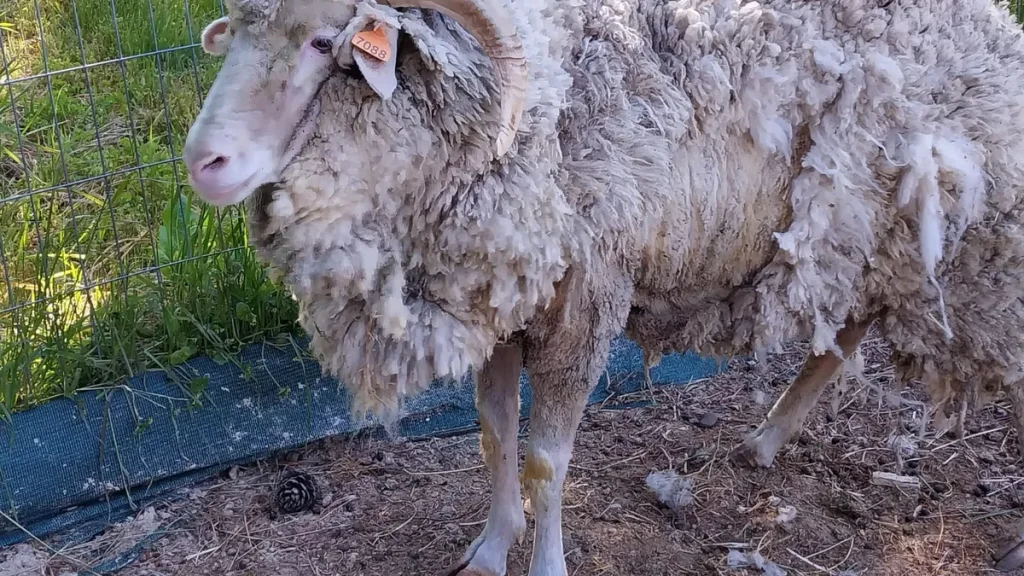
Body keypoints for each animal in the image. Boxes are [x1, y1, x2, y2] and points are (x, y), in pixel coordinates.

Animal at [180, 0, 1024, 569]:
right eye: (237, 34)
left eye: (325, 42)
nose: (202, 161)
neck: (522, 126)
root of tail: (992, 22)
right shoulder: (502, 303)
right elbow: (494, 434)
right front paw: (490, 549)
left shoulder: (583, 309)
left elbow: (546, 461)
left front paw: (544, 562)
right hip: (868, 240)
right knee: (842, 333)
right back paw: (765, 440)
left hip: (976, 256)